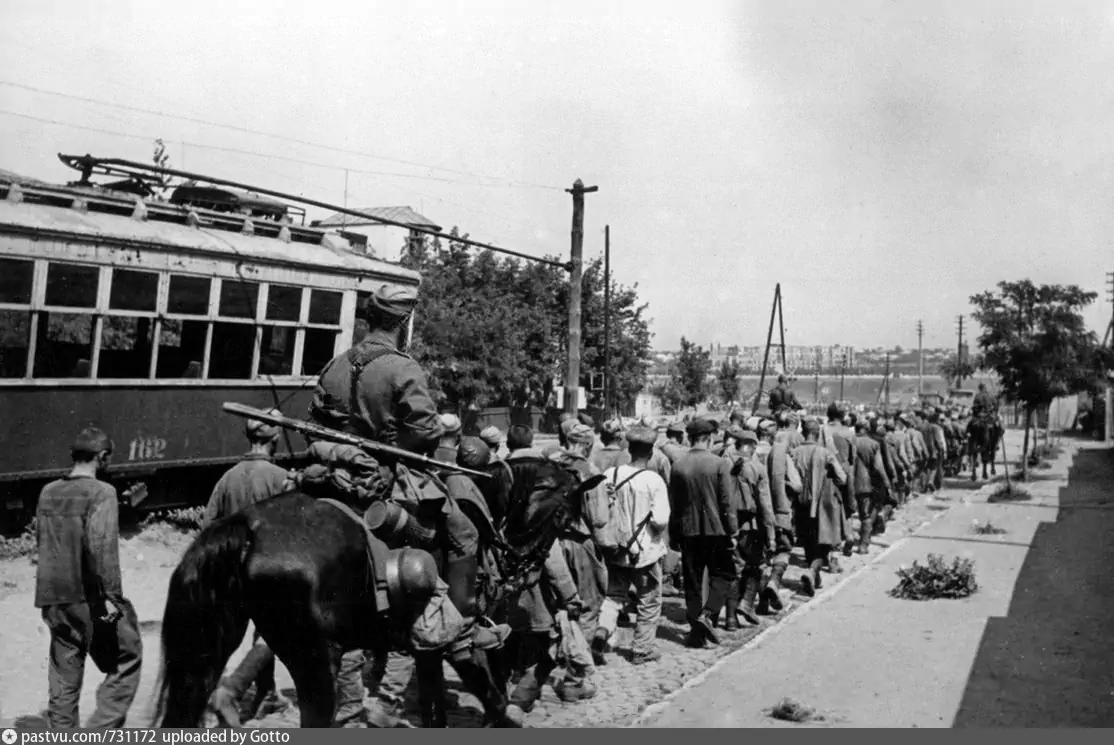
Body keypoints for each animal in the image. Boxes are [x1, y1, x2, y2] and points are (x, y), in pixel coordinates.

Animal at [152, 461, 606, 730]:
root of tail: (247, 525)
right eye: (567, 508)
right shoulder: (459, 637)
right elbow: (488, 691)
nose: (525, 569)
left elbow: (433, 700)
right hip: (317, 659)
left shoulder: (426, 645)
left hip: (214, 649)